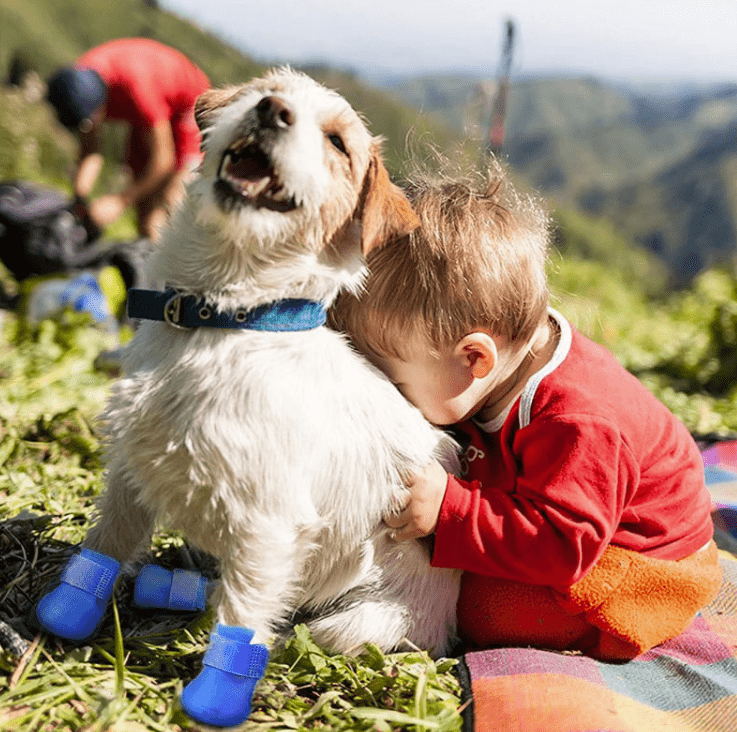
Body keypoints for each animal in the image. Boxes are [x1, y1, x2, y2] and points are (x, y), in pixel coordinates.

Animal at [82, 70, 460, 656]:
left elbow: (239, 625)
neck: (224, 321)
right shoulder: (129, 472)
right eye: (265, 90)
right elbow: (103, 547)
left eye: (337, 143)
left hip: (356, 623)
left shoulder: (268, 531)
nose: (270, 110)